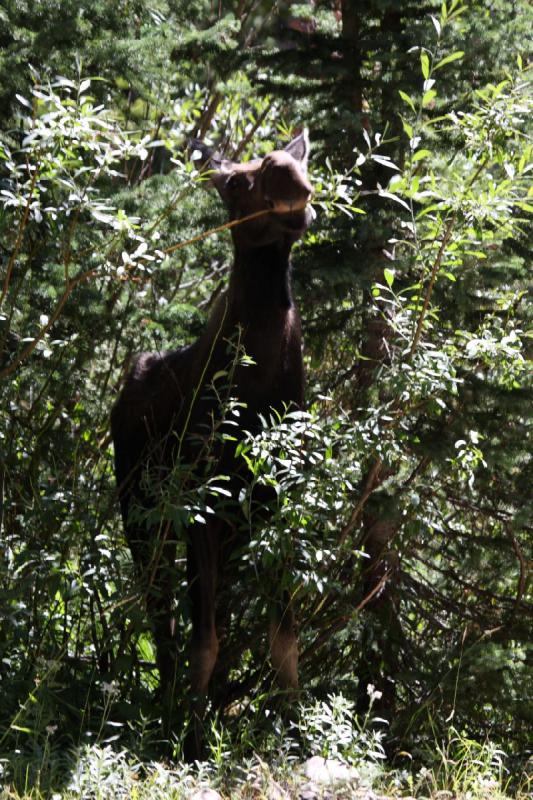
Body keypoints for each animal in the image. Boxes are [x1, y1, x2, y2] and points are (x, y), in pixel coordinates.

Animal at [111, 128, 312, 752]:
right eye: (236, 183)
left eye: (300, 162)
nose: (286, 172)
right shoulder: (200, 509)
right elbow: (206, 641)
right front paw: (191, 739)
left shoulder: (277, 505)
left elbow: (283, 639)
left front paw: (295, 730)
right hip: (141, 512)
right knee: (163, 618)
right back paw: (166, 708)